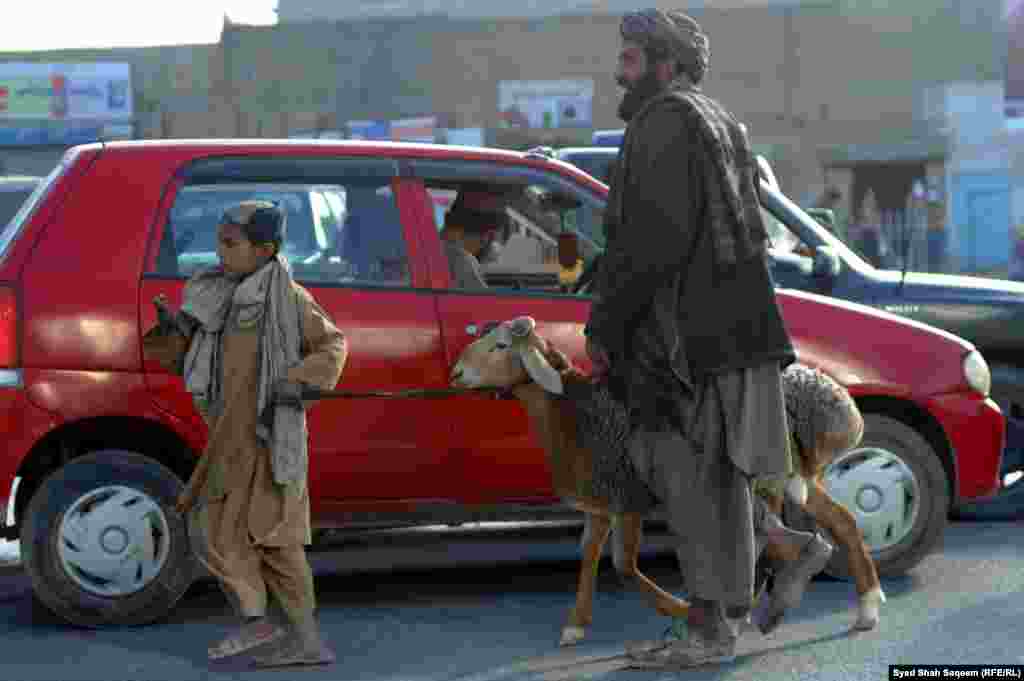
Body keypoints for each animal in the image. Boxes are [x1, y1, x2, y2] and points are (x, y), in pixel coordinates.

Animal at [450, 313, 888, 643]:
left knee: (770, 530)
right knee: (841, 522)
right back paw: (864, 606)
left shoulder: (626, 499)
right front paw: (575, 625)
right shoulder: (600, 501)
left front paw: (679, 609)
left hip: (770, 473)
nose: (455, 373)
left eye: (501, 346)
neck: (573, 414)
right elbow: (589, 555)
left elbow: (624, 565)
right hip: (796, 478)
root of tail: (837, 400)